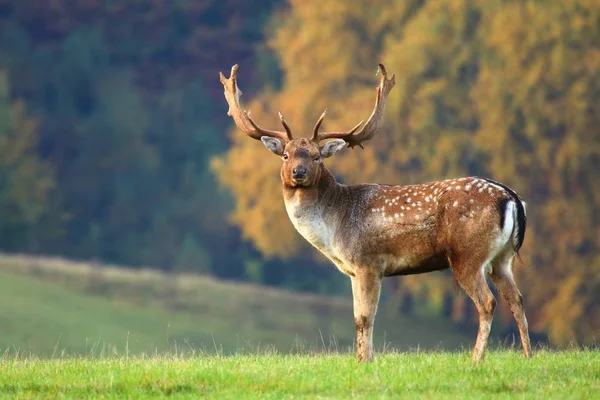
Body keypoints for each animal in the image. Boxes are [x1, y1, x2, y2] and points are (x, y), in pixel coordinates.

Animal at [219, 62, 528, 362]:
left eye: (317, 157)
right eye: (286, 155)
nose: (298, 173)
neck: (334, 227)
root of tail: (511, 197)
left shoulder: (368, 262)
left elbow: (366, 317)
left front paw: (366, 361)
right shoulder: (353, 272)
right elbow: (357, 317)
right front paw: (361, 361)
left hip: (468, 255)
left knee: (488, 302)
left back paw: (476, 360)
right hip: (502, 258)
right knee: (517, 300)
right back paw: (527, 356)